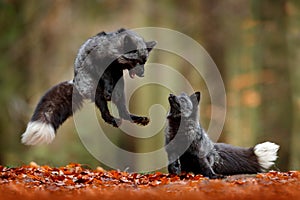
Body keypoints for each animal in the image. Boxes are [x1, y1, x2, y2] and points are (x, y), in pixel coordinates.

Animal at [20, 28, 156, 145]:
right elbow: (106, 77)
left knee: (123, 112)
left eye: (144, 62)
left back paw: (136, 119)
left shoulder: (117, 73)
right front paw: (108, 88)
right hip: (97, 93)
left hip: (120, 90)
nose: (143, 74)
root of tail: (74, 82)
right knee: (105, 114)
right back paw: (113, 118)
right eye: (136, 62)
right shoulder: (97, 63)